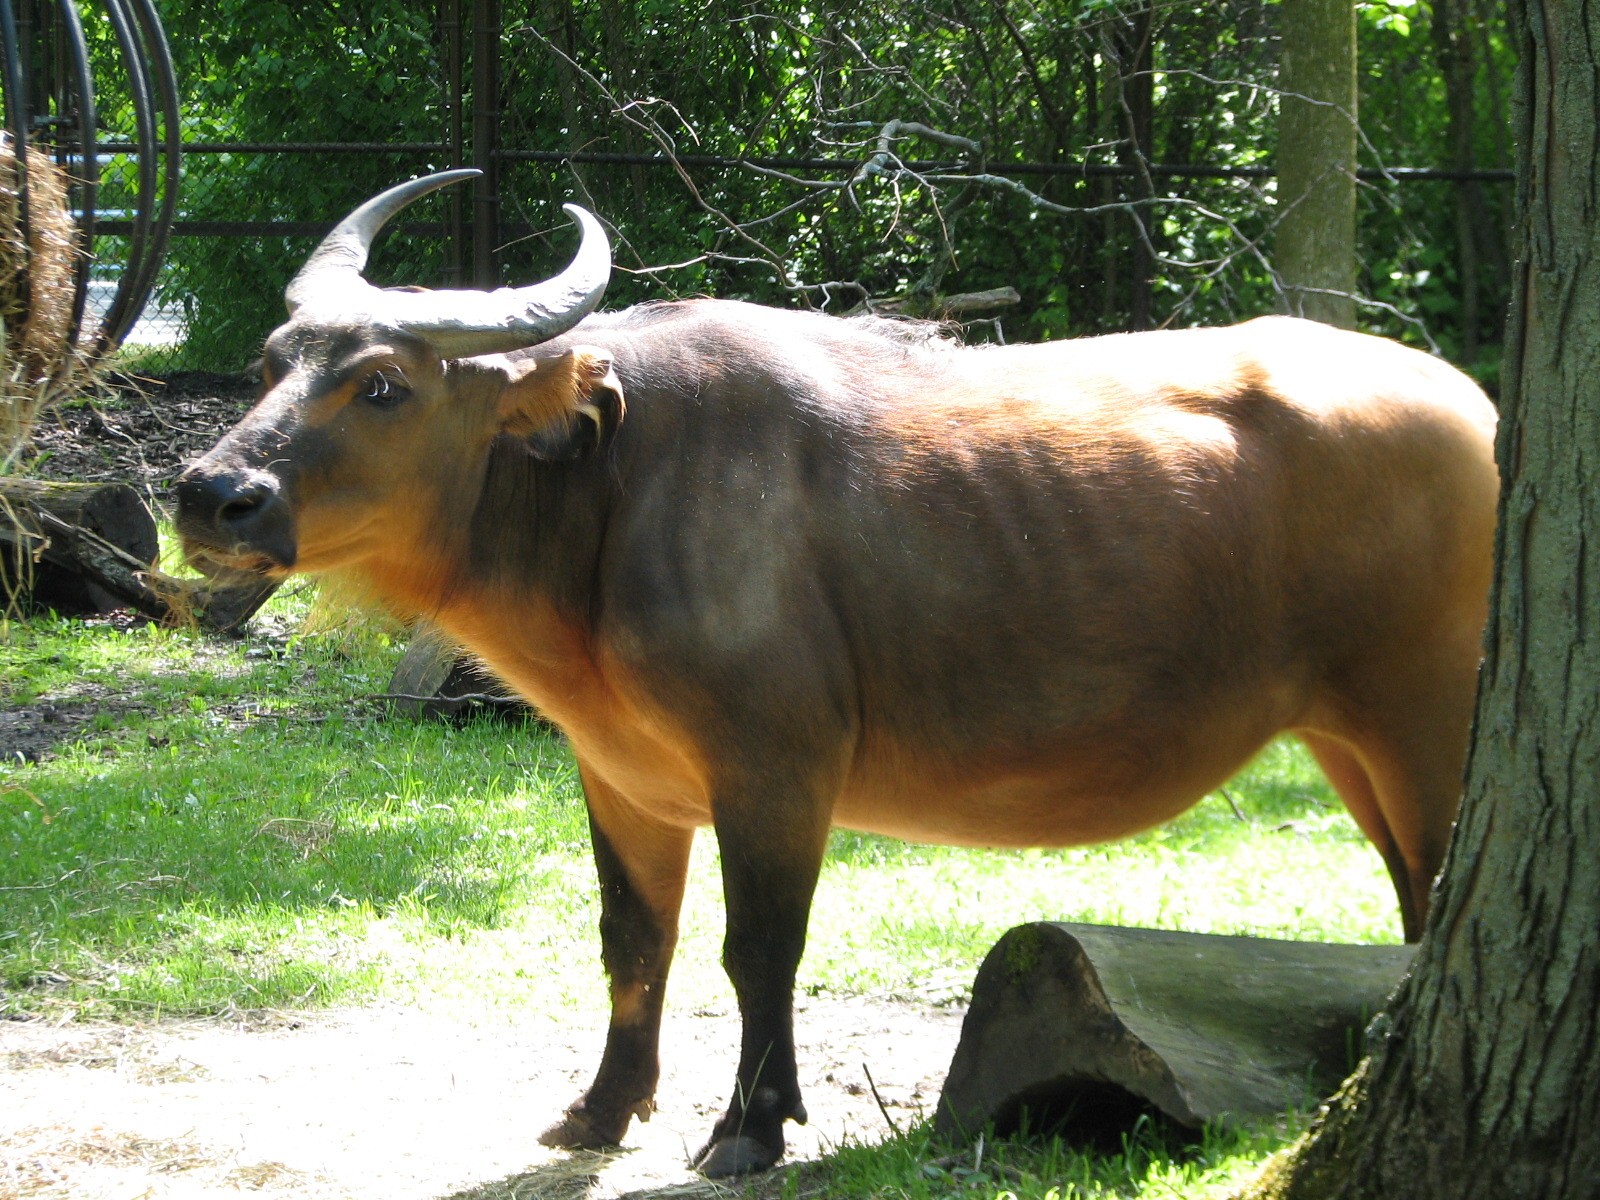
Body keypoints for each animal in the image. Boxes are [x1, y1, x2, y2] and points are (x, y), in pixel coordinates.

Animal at [176, 170, 1498, 1176]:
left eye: (383, 383)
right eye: (271, 360)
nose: (210, 493)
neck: (610, 493)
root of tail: (1477, 415)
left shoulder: (775, 768)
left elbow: (755, 948)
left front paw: (748, 1129)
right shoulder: (622, 777)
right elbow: (631, 941)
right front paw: (602, 1110)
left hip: (1426, 716)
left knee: (1437, 888)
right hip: (1343, 728)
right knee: (1411, 893)